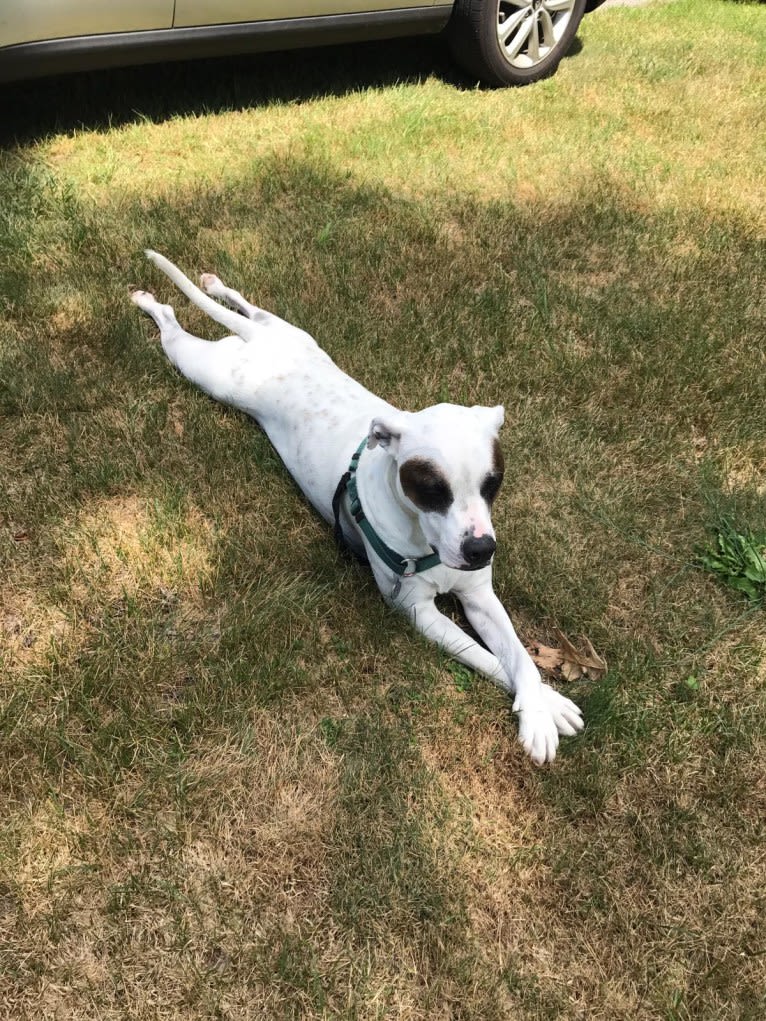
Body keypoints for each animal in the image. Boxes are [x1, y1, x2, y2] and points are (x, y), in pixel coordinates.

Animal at [134, 253, 584, 767]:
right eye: (431, 488)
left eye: (494, 483)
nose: (481, 550)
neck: (422, 538)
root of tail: (262, 348)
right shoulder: (417, 612)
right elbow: (489, 659)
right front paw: (545, 706)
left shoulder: (479, 595)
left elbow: (520, 657)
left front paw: (543, 705)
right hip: (207, 370)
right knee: (173, 329)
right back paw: (151, 303)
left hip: (289, 332)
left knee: (247, 307)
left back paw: (215, 285)